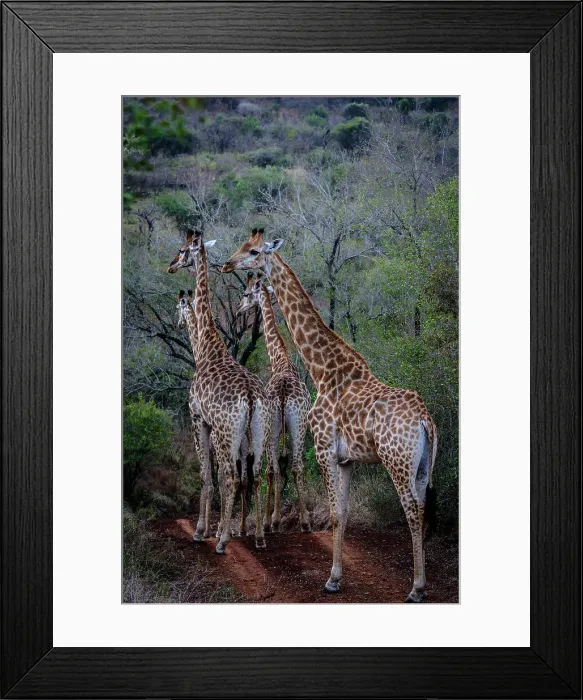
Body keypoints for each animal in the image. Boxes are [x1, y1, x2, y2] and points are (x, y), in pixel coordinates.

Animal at [176, 290, 250, 540]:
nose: (178, 323)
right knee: (247, 477)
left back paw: (223, 533)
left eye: (177, 308)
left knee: (230, 477)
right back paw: (244, 529)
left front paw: (204, 529)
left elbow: (207, 476)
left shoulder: (199, 423)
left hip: (225, 439)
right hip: (247, 442)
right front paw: (211, 528)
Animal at [238, 273, 312, 534]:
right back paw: (305, 522)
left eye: (247, 293)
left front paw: (271, 520)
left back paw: (274, 521)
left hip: (274, 428)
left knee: (273, 469)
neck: (280, 358)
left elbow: (271, 470)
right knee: (296, 466)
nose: (239, 310)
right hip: (299, 424)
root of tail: (282, 395)